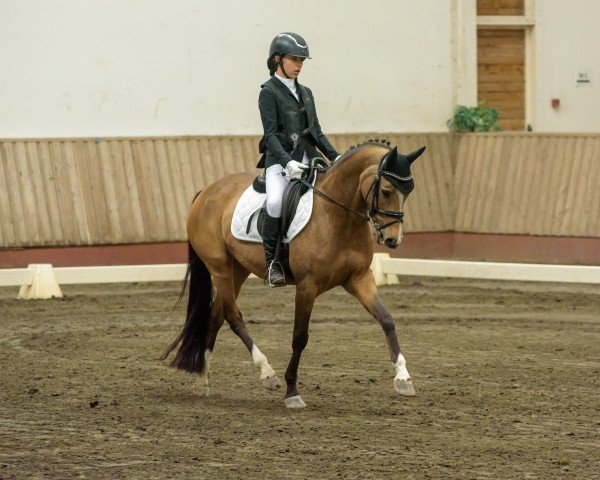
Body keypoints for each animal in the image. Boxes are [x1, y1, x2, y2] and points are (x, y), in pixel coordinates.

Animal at [161, 140, 426, 408]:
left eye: (409, 192)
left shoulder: (359, 278)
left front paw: (403, 378)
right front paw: (292, 392)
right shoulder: (307, 286)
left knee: (216, 315)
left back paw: (203, 381)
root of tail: (206, 191)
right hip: (220, 268)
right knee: (232, 315)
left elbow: (386, 319)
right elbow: (300, 337)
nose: (393, 240)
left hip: (238, 269)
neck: (337, 216)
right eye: (386, 191)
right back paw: (266, 372)